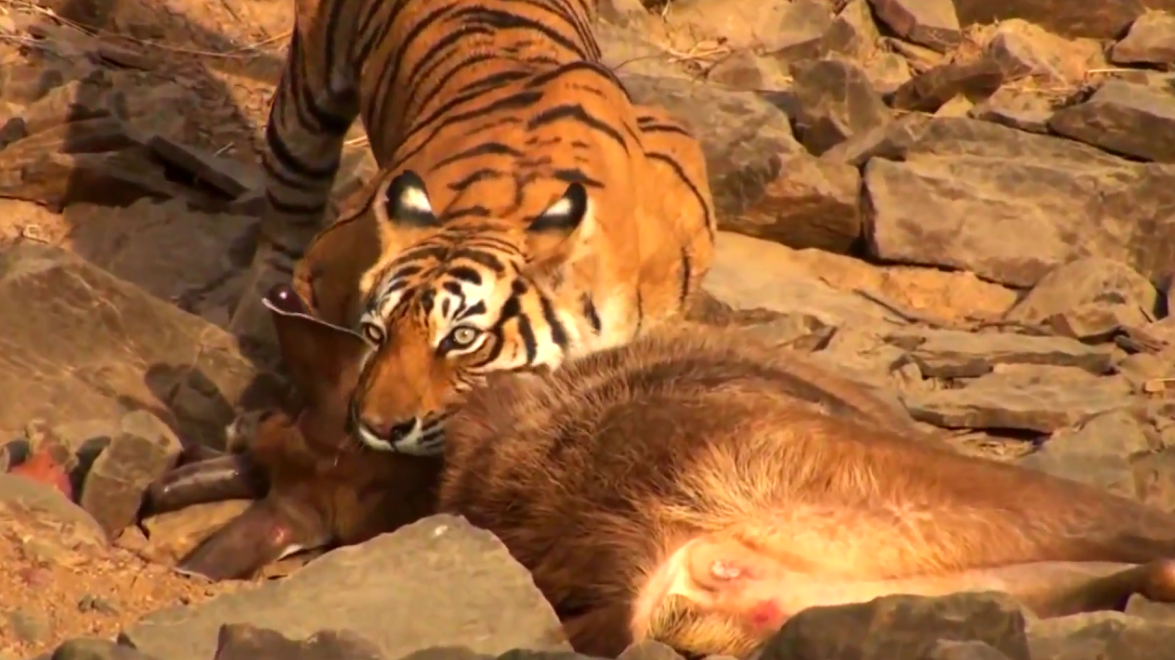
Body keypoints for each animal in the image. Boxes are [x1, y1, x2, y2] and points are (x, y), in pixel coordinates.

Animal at [224, 0, 709, 455]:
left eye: (462, 338)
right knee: (289, 202)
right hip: (309, 93)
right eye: (376, 334)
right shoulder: (329, 264)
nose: (380, 428)